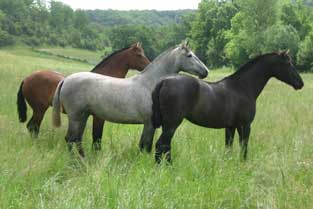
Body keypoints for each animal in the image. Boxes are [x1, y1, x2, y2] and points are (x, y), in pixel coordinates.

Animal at [17, 42, 150, 147]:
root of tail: (26, 79)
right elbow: (97, 137)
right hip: (39, 110)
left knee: (31, 127)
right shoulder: (99, 118)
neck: (103, 81)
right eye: (139, 55)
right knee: (33, 127)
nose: (149, 66)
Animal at [52, 41, 208, 157]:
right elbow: (146, 146)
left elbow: (143, 146)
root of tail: (66, 80)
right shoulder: (149, 124)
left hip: (83, 116)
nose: (205, 72)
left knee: (76, 139)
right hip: (76, 117)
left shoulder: (150, 125)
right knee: (70, 139)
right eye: (189, 55)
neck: (150, 84)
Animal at [151, 50, 302, 163]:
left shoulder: (230, 127)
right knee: (162, 145)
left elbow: (228, 148)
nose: (300, 83)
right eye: (288, 63)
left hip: (167, 125)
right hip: (172, 124)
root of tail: (164, 81)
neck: (242, 87)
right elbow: (243, 147)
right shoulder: (245, 125)